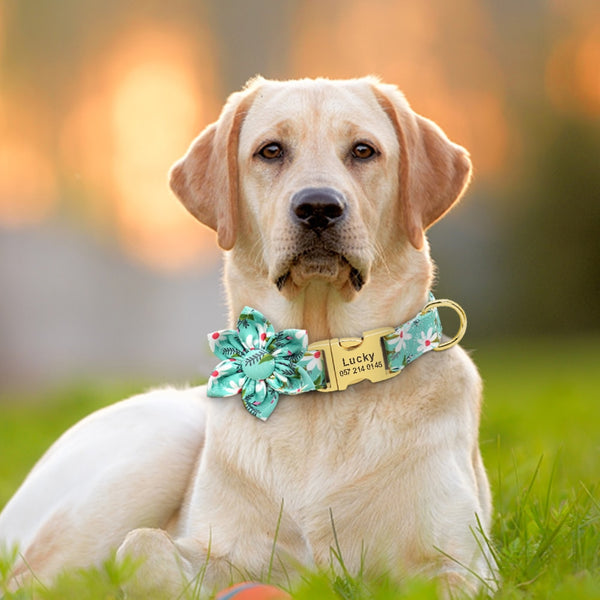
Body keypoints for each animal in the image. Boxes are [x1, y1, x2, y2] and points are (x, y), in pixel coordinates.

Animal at [0, 77, 494, 596]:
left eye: (363, 150)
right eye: (270, 151)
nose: (318, 207)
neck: (320, 377)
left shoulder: (460, 562)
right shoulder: (226, 550)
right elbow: (143, 547)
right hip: (159, 445)